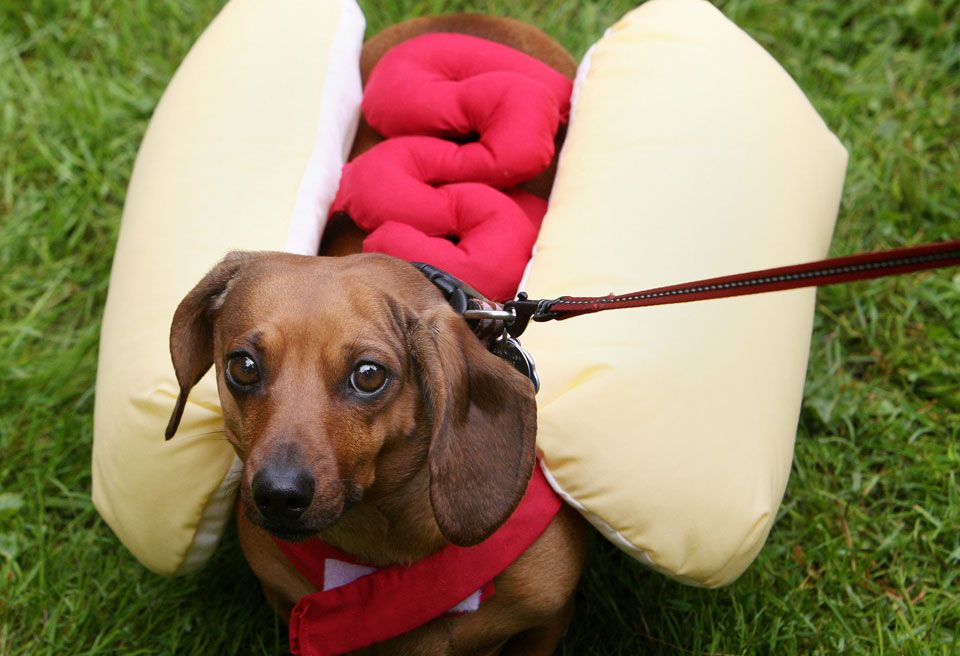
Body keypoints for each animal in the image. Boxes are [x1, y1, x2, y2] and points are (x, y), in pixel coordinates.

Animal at [165, 12, 584, 652]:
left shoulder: (546, 619)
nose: (279, 496)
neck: (384, 553)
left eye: (369, 376)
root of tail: (467, 18)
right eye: (242, 366)